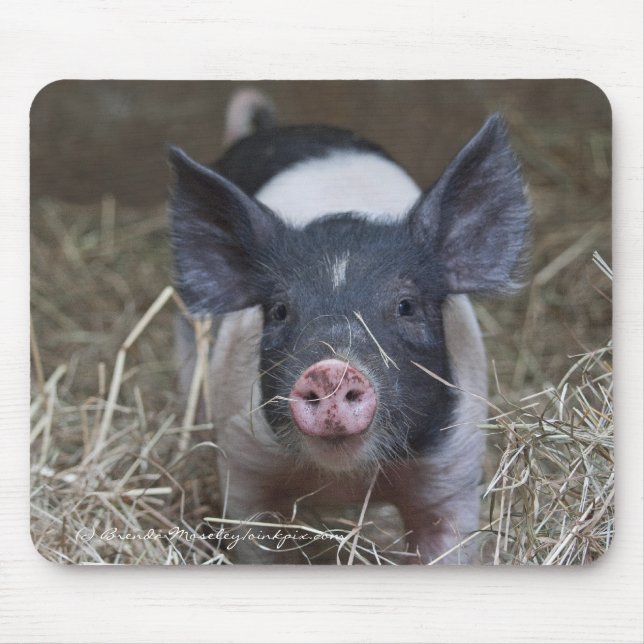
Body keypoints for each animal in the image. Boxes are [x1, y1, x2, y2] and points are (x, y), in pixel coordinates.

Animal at [169, 89, 530, 564]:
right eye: (280, 310)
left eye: (406, 305)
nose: (331, 369)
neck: (347, 479)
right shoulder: (246, 466)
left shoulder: (451, 471)